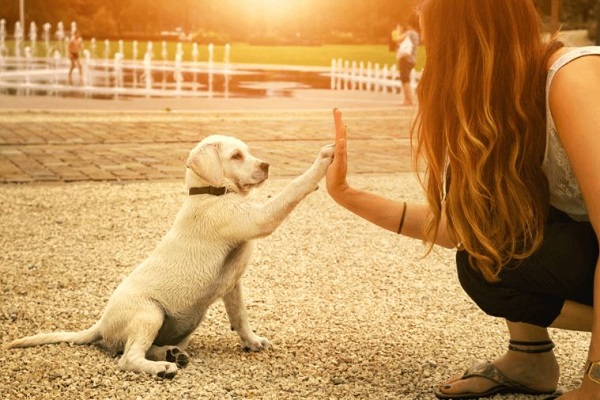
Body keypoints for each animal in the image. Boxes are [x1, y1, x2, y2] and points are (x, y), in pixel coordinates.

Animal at [4, 134, 336, 378]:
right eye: (236, 156)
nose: (266, 165)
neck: (211, 192)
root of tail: (101, 324)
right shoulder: (258, 219)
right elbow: (293, 189)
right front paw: (323, 160)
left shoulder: (233, 284)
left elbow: (240, 316)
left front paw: (252, 342)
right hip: (149, 313)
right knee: (127, 358)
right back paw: (162, 367)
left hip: (180, 325)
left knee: (138, 348)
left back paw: (171, 354)